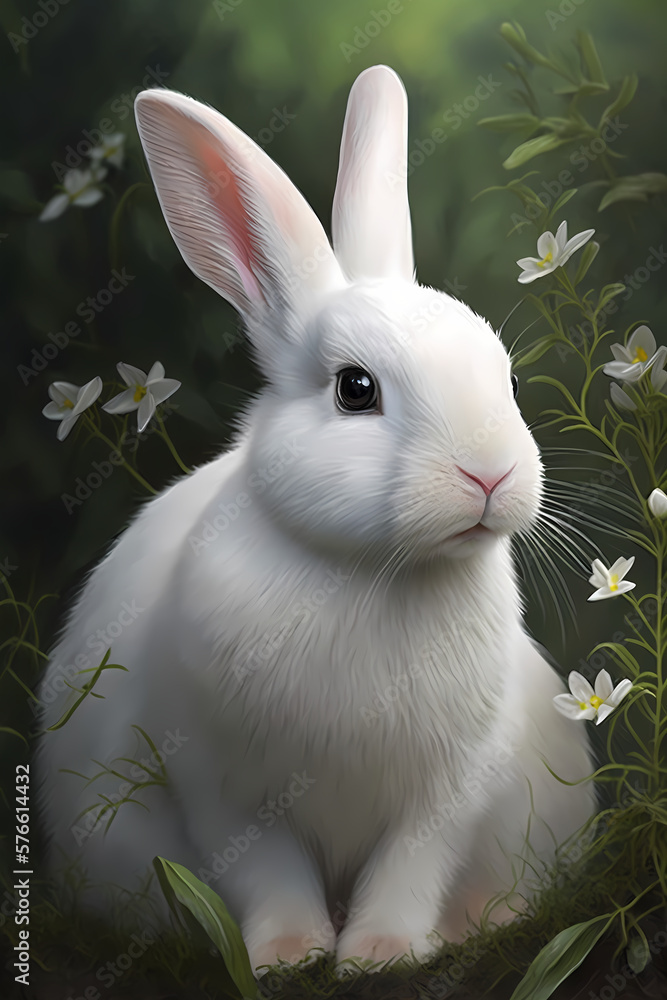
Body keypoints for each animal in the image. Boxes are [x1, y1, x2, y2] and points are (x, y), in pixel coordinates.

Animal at [36, 65, 596, 974]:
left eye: (506, 379)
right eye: (354, 390)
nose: (491, 473)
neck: (372, 572)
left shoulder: (449, 788)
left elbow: (410, 867)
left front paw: (381, 952)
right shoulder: (222, 786)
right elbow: (267, 875)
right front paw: (290, 955)